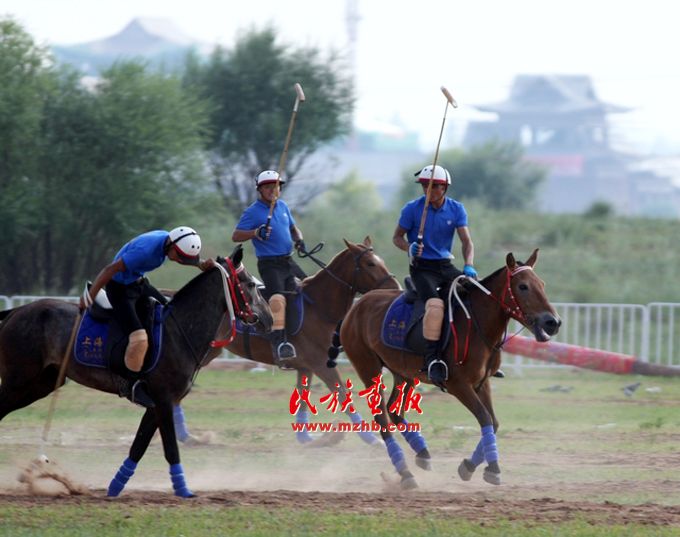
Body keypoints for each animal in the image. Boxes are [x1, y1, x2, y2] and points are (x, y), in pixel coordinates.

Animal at [0, 246, 272, 497]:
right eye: (250, 284)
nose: (269, 318)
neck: (179, 330)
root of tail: (15, 311)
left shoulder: (157, 403)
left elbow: (139, 446)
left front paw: (115, 486)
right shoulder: (163, 399)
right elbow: (170, 447)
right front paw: (183, 489)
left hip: (40, 384)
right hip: (18, 380)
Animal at [175, 237, 401, 447]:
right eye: (370, 264)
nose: (395, 287)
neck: (319, 308)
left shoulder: (306, 367)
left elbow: (303, 399)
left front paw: (308, 438)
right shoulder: (322, 364)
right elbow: (344, 396)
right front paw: (371, 438)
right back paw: (186, 436)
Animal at [328, 249, 561, 488]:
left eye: (541, 284)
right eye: (523, 286)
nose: (553, 322)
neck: (476, 325)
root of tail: (354, 308)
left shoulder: (482, 382)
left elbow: (493, 422)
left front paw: (469, 466)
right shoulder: (458, 384)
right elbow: (485, 417)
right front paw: (493, 468)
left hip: (404, 372)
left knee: (395, 410)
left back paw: (422, 452)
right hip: (368, 366)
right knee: (382, 418)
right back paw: (405, 473)